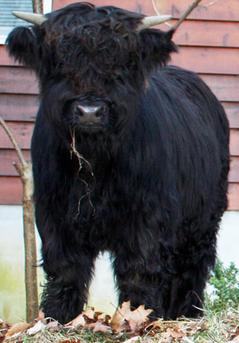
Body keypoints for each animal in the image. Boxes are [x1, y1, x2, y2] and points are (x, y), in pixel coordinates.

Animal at [7, 1, 230, 326]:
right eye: (60, 59)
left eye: (122, 63)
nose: (89, 111)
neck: (95, 162)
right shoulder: (54, 212)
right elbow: (64, 268)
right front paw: (58, 317)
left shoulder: (147, 216)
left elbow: (139, 269)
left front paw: (139, 316)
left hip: (203, 218)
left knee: (192, 265)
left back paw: (186, 313)